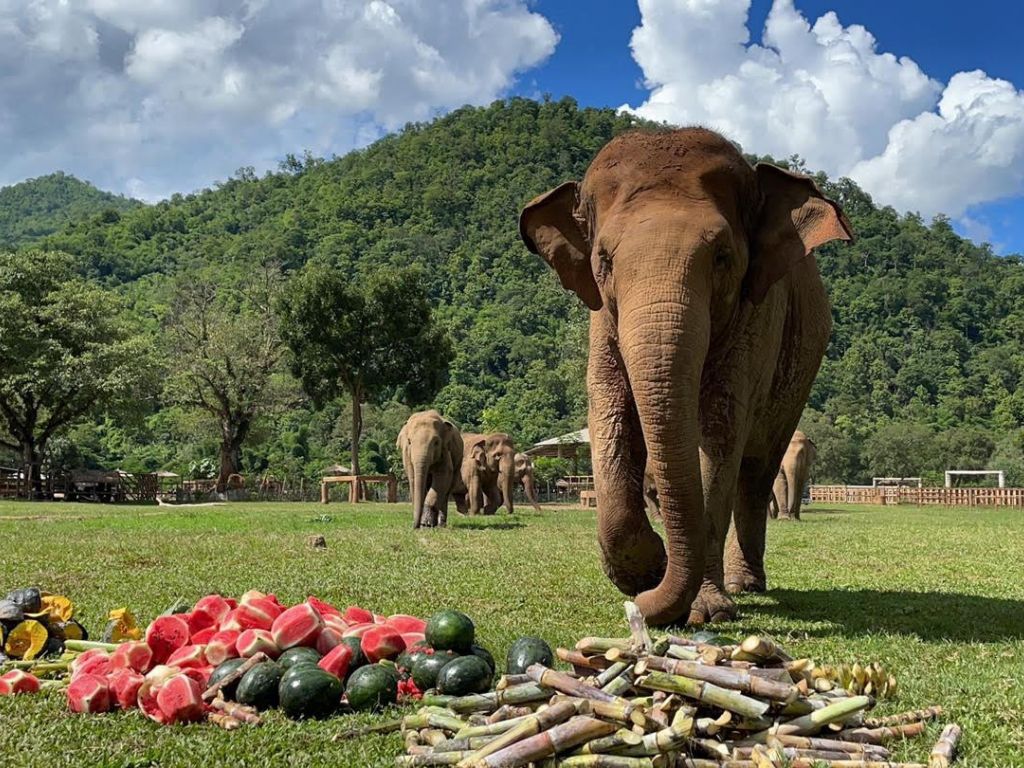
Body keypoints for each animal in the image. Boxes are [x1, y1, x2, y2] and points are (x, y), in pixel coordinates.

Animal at [519, 128, 852, 625]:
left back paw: (745, 584)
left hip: (798, 377)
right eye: (604, 260)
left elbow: (720, 431)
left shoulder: (758, 317)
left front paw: (704, 609)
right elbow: (610, 409)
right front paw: (646, 572)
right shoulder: (602, 319)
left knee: (755, 471)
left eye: (722, 257)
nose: (641, 604)